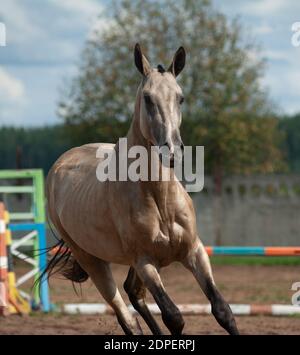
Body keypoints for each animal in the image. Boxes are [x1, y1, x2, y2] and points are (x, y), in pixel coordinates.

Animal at [45, 44, 239, 336]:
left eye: (181, 98)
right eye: (148, 98)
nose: (172, 150)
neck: (160, 199)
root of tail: (61, 164)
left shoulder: (194, 251)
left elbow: (222, 310)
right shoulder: (145, 262)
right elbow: (174, 316)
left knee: (133, 293)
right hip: (93, 261)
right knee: (126, 315)